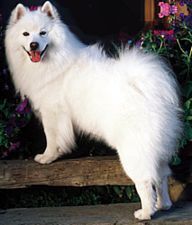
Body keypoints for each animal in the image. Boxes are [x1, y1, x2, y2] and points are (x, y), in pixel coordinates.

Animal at [5, 1, 182, 220]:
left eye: (43, 33)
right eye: (26, 34)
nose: (34, 45)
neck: (55, 62)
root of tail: (151, 91)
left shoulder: (52, 113)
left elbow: (52, 138)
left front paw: (47, 157)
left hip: (135, 150)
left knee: (146, 181)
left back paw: (146, 212)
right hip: (158, 150)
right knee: (162, 176)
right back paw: (164, 205)